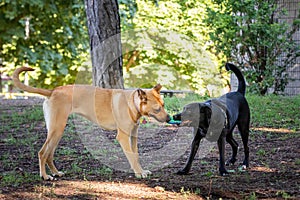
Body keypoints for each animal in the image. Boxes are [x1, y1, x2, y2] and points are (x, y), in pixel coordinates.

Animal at [12, 67, 170, 180]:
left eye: (164, 104)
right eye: (157, 108)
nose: (169, 119)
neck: (132, 103)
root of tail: (53, 91)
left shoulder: (133, 136)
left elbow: (135, 155)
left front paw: (140, 170)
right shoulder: (123, 136)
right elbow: (131, 156)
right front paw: (138, 173)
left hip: (57, 132)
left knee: (49, 154)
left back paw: (56, 173)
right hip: (56, 130)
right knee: (42, 152)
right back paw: (45, 176)